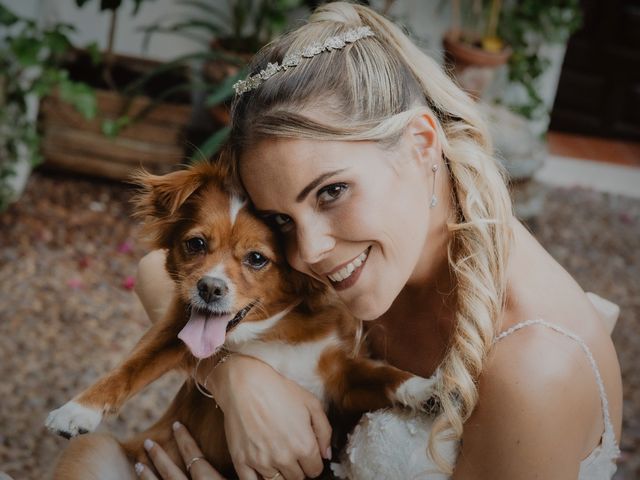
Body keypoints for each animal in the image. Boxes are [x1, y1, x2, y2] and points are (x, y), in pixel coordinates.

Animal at [43, 160, 436, 476]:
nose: (210, 288)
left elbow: (384, 376)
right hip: (97, 451)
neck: (269, 331)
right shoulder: (173, 333)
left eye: (257, 259)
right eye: (196, 244)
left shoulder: (339, 380)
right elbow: (129, 369)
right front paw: (77, 410)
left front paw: (426, 390)